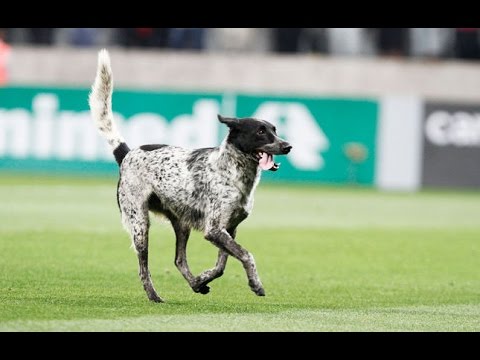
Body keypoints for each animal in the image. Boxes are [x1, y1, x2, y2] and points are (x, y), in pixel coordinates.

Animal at [89, 48, 292, 300]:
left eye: (274, 129)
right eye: (260, 131)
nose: (287, 146)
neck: (234, 173)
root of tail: (127, 153)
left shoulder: (229, 229)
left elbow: (222, 264)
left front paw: (204, 278)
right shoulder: (214, 230)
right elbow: (246, 255)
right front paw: (256, 284)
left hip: (181, 223)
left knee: (179, 260)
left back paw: (195, 283)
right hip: (139, 223)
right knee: (143, 268)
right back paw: (154, 296)